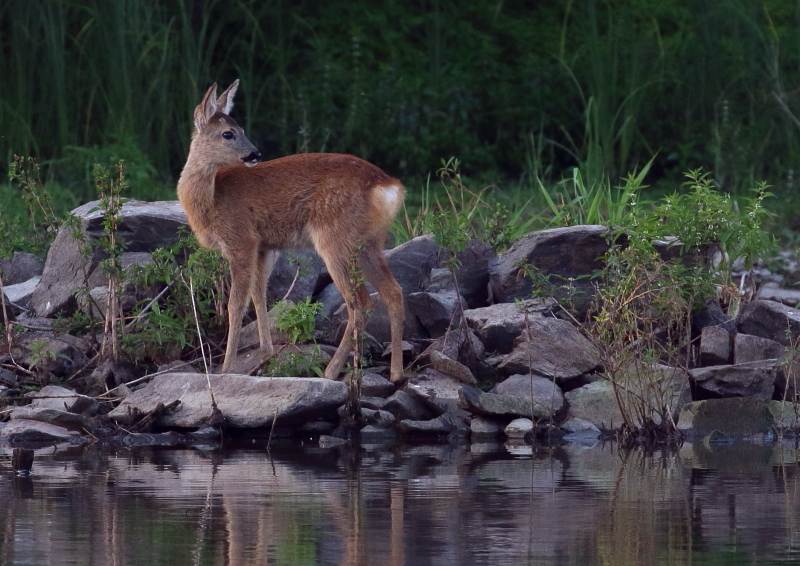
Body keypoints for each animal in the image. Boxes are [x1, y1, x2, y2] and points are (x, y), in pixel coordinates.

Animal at [176, 81, 406, 382]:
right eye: (228, 133)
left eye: (239, 130)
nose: (256, 154)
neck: (212, 199)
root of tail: (389, 187)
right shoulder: (264, 246)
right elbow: (258, 296)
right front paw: (266, 357)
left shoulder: (241, 239)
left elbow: (235, 305)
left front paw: (226, 369)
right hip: (369, 242)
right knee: (393, 292)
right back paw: (397, 373)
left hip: (335, 238)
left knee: (361, 303)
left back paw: (331, 371)